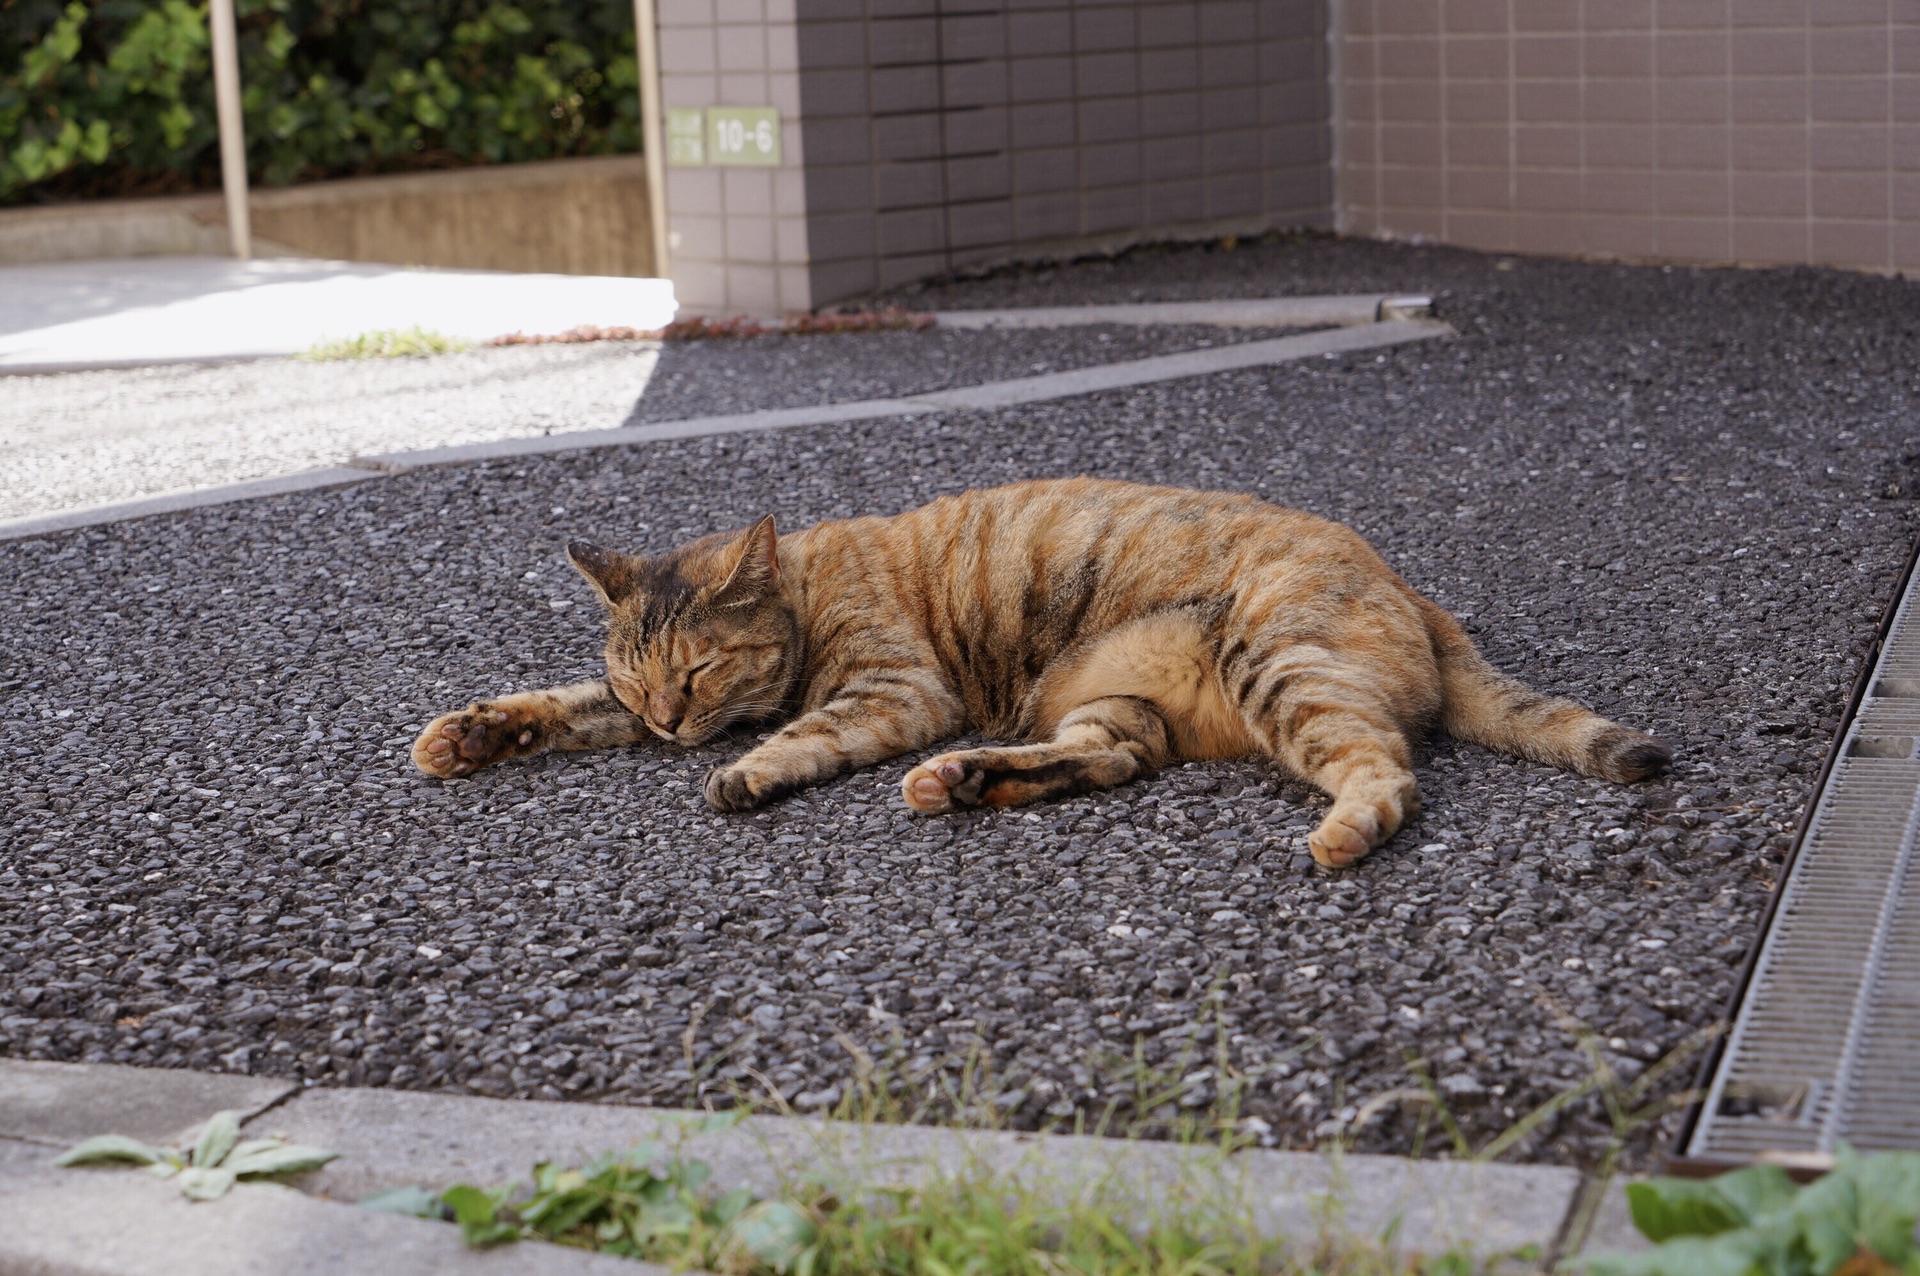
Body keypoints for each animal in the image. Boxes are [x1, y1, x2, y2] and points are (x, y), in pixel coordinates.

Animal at [416, 475, 1666, 867]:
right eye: (644, 685)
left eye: (702, 669)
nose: (674, 727)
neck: (808, 583)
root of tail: (1413, 586)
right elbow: (556, 704)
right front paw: (472, 731)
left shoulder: (892, 687)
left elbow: (798, 734)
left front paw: (747, 771)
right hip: (1116, 701)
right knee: (1106, 762)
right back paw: (969, 779)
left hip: (1279, 667)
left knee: (1388, 770)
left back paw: (1347, 828)